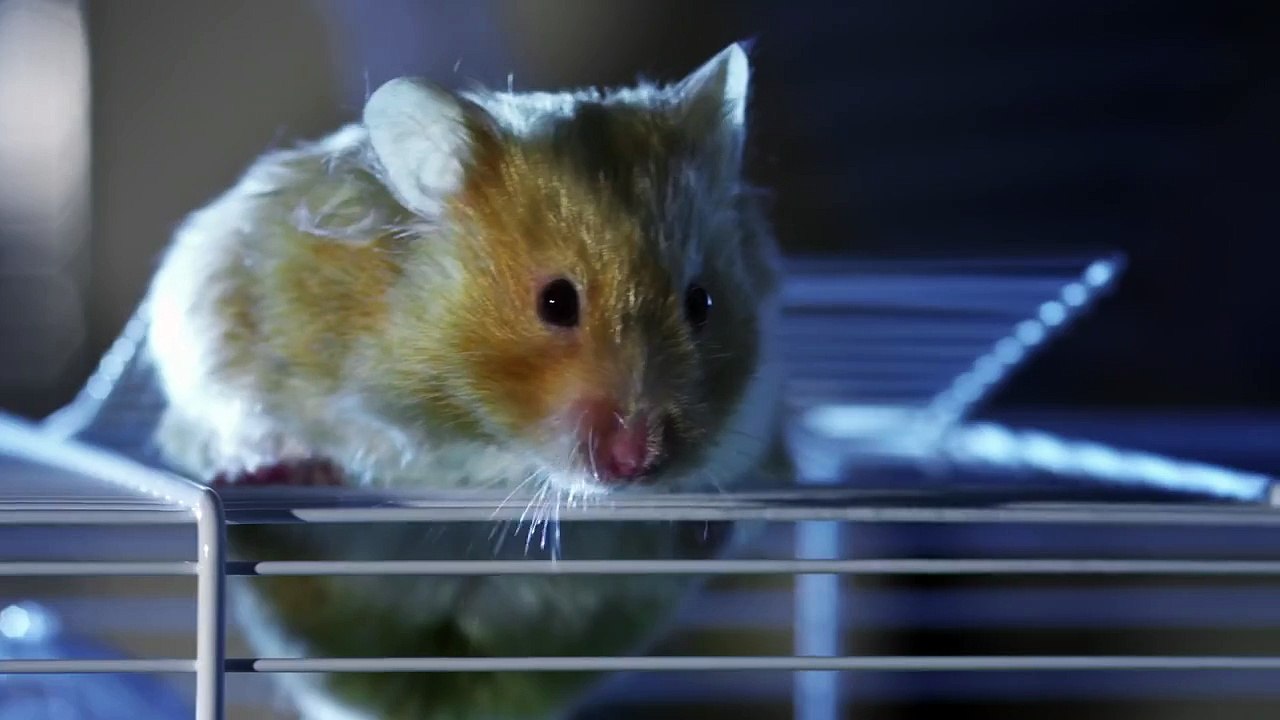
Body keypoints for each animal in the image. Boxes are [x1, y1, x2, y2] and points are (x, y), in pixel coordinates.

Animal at [145, 43, 791, 720]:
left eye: (703, 303)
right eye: (556, 301)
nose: (636, 463)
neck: (479, 434)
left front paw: (702, 515)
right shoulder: (224, 305)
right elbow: (244, 404)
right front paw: (291, 464)